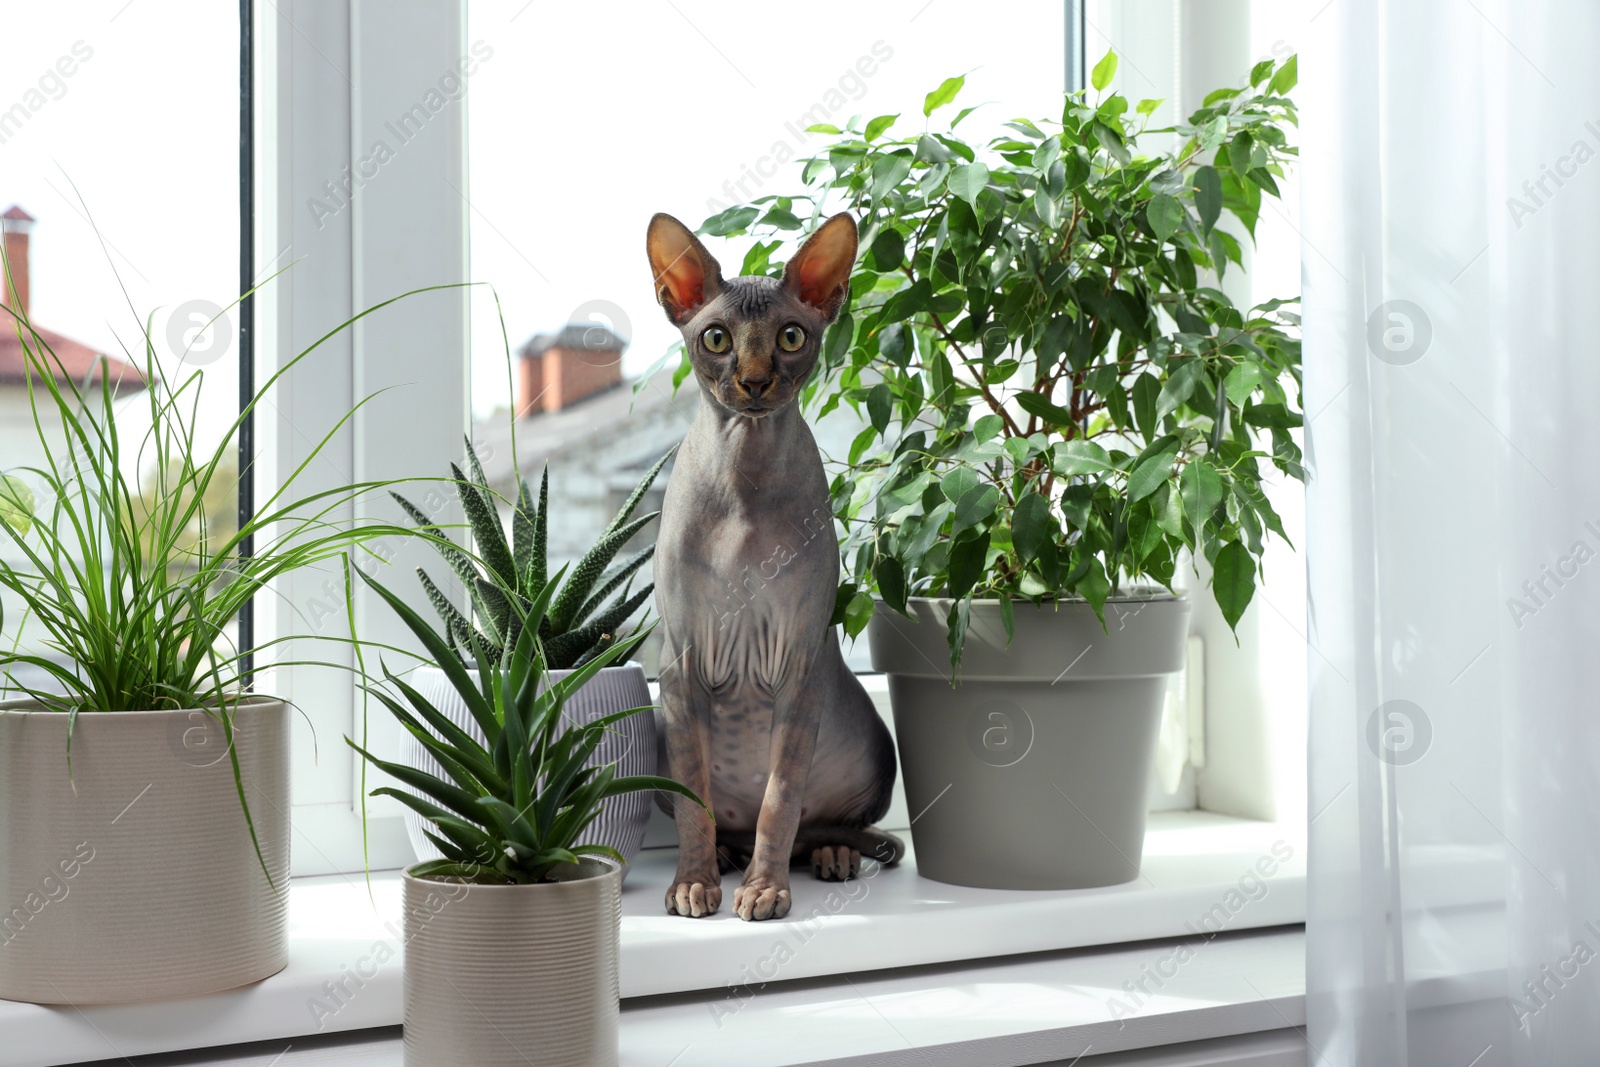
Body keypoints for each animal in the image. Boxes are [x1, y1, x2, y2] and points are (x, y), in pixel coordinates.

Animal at [643, 212, 908, 921]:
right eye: (716, 337)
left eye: (792, 336)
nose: (756, 381)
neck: (746, 479)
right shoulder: (680, 664)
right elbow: (694, 804)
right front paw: (693, 882)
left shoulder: (799, 663)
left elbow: (780, 800)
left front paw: (765, 890)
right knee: (718, 816)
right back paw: (724, 856)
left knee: (812, 825)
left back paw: (829, 855)